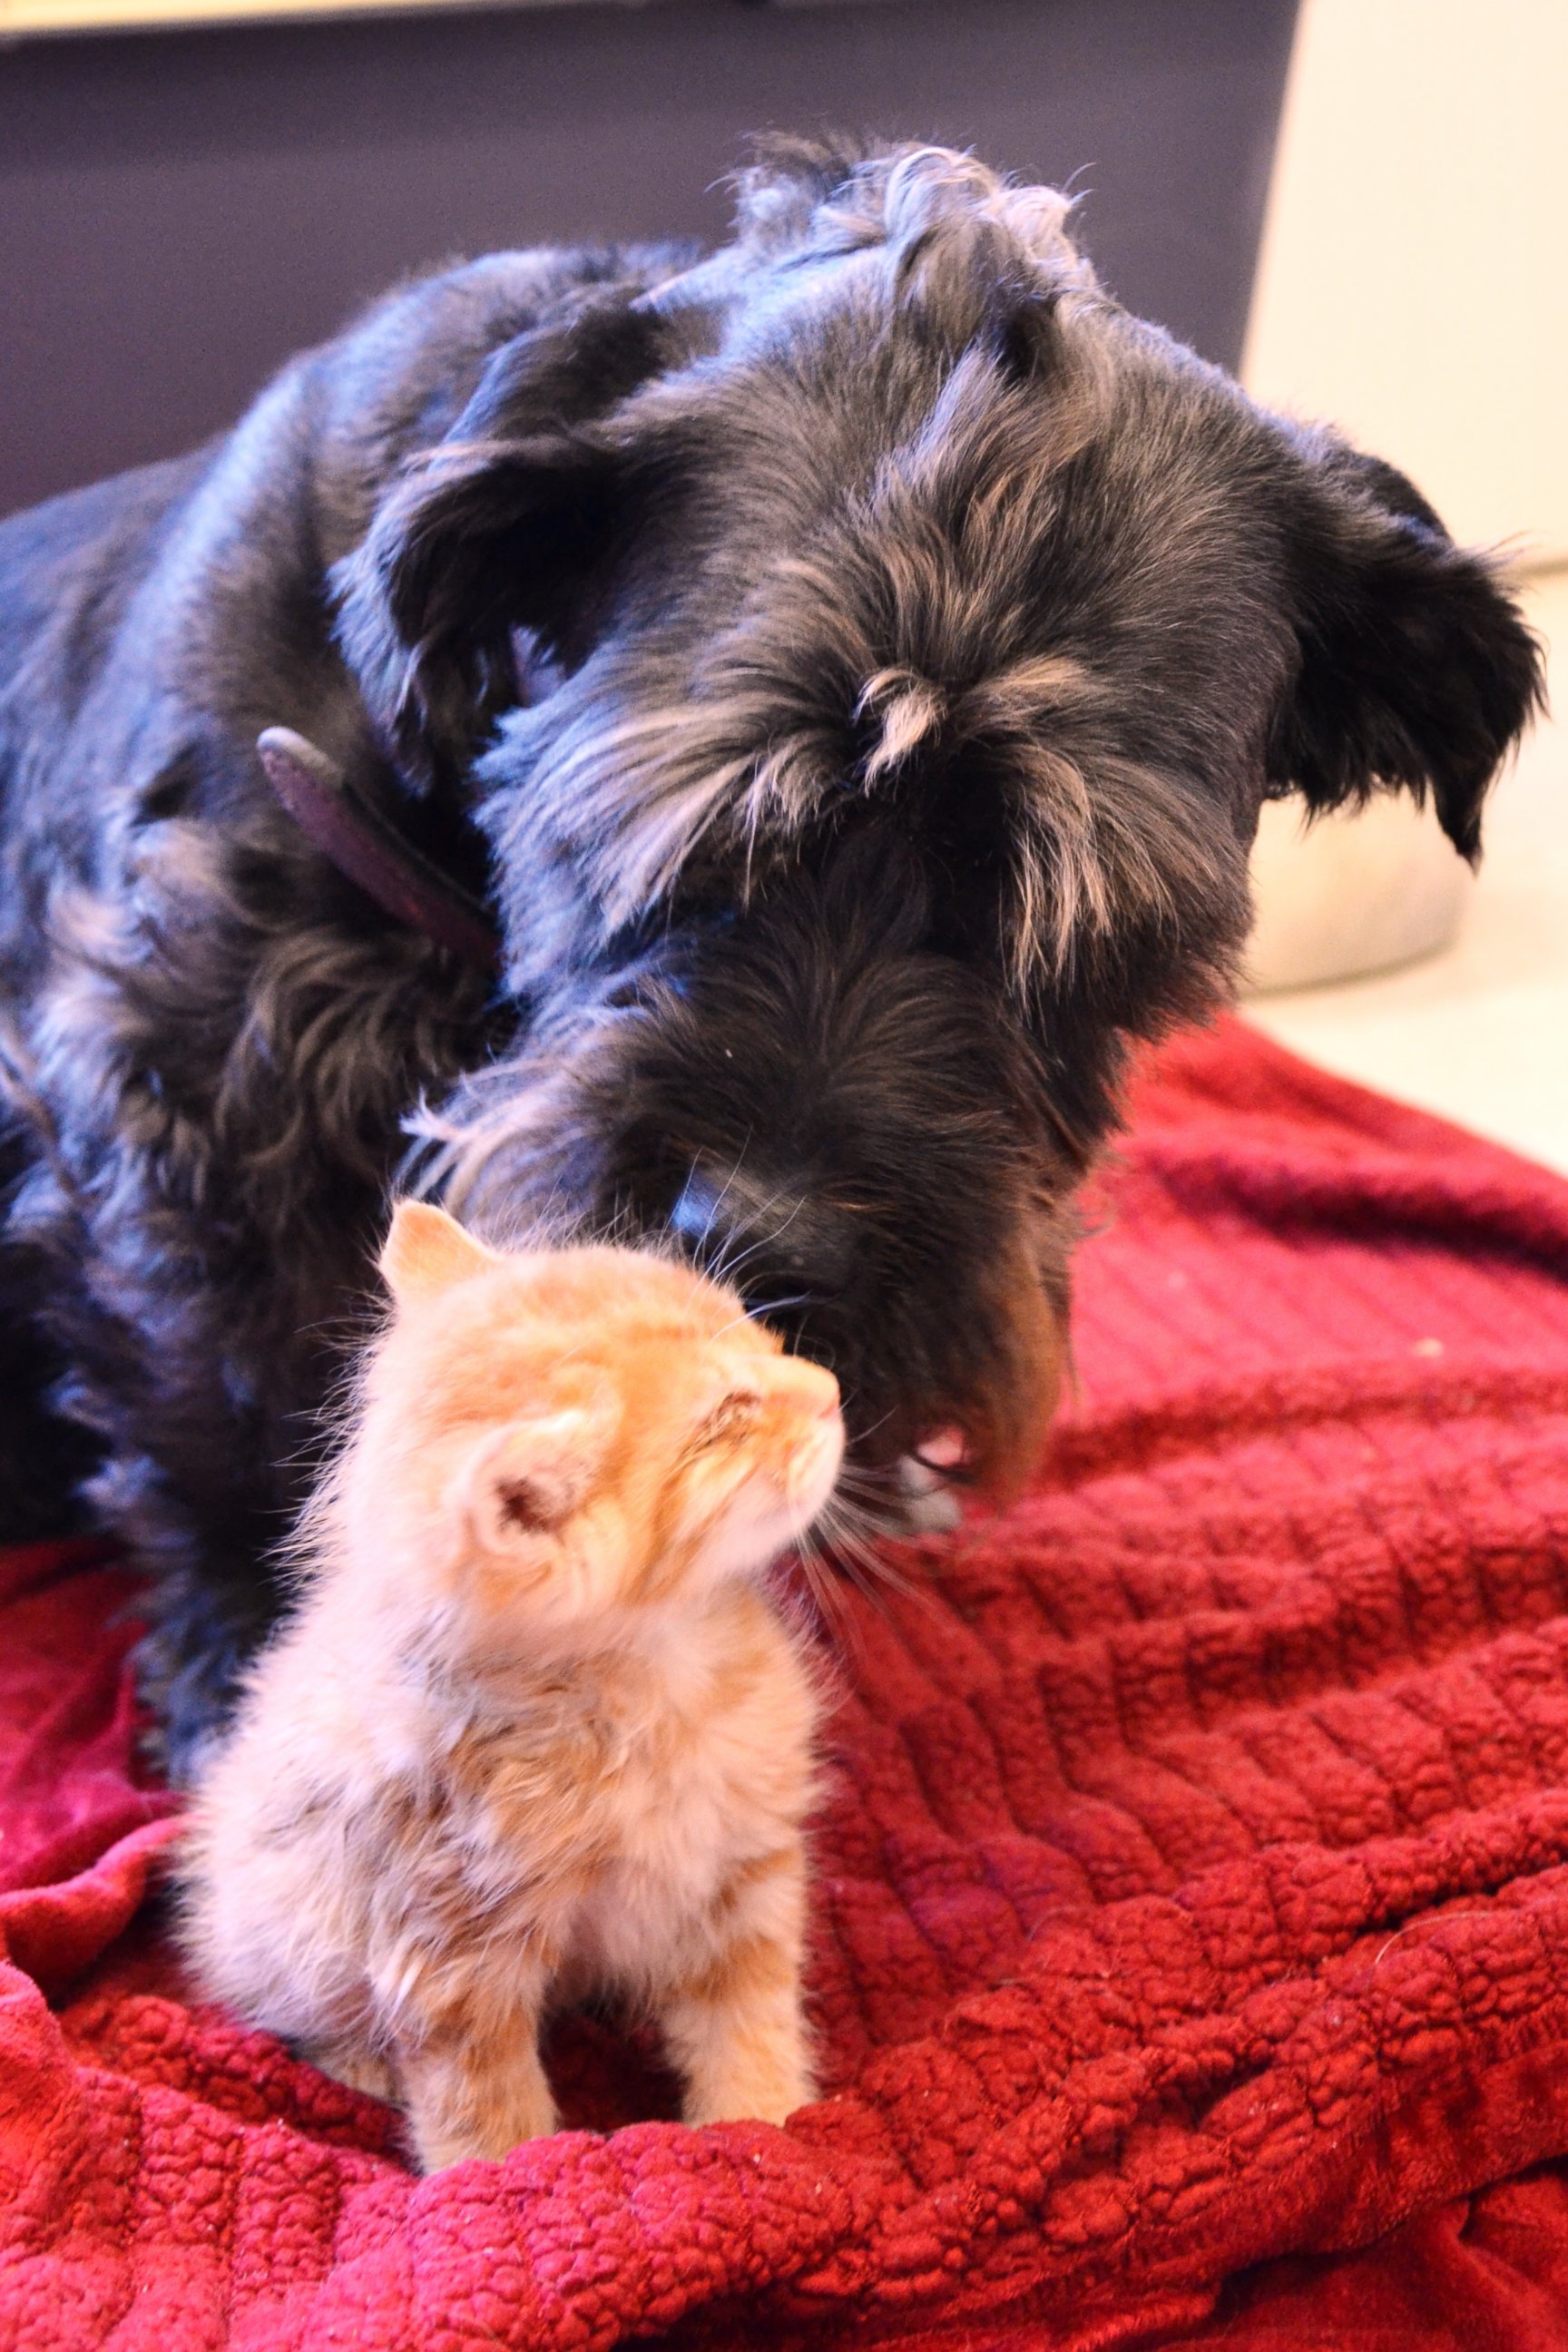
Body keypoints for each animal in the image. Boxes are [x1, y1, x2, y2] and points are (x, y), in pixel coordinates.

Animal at [0, 137, 1542, 1769]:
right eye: (677, 828)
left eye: (1091, 937)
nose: (766, 1250)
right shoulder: (187, 1065)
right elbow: (223, 1389)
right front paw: (259, 1649)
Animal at [175, 1204, 846, 2173]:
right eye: (725, 1418)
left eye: (755, 1328)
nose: (830, 1387)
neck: (654, 1682)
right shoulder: (448, 1957)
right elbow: (482, 2118)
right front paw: (506, 2185)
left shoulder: (741, 1874)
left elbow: (749, 2025)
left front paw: (768, 2130)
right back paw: (356, 2061)